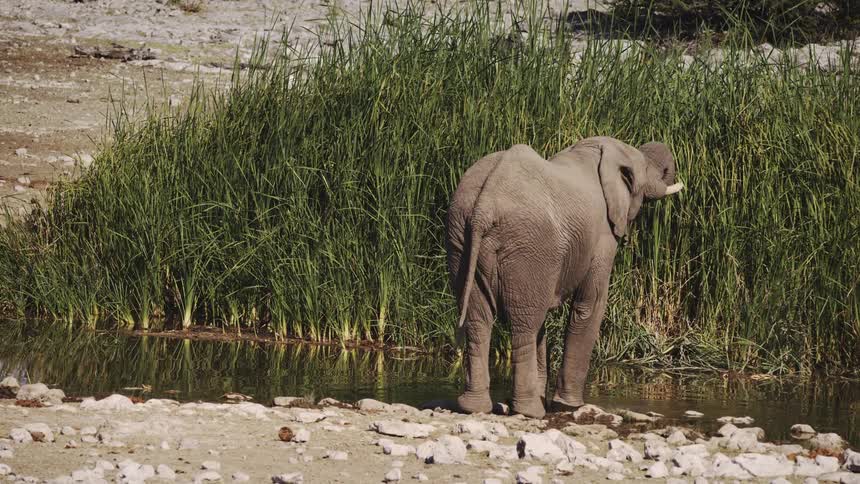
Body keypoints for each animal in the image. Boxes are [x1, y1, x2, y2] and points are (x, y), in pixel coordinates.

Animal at [445, 136, 683, 419]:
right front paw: (569, 405)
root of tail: (484, 206)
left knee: (479, 320)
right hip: (529, 245)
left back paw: (475, 407)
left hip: (461, 238)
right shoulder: (603, 234)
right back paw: (530, 411)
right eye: (644, 170)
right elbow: (590, 304)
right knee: (524, 324)